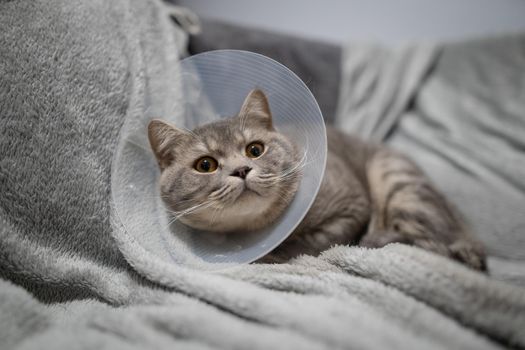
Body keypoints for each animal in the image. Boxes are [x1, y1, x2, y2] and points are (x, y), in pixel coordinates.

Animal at [147, 89, 488, 270]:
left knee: (429, 243)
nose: (242, 170)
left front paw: (277, 253)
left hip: (397, 179)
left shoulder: (351, 207)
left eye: (255, 149)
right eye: (205, 165)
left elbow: (314, 241)